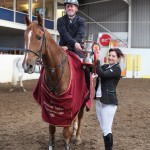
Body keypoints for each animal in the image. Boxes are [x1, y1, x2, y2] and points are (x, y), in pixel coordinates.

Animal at [21, 14, 91, 150]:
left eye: (39, 37)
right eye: (25, 37)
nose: (27, 66)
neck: (56, 71)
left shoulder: (67, 104)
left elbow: (66, 131)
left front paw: (67, 143)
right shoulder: (50, 104)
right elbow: (51, 128)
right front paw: (51, 145)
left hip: (83, 99)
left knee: (79, 117)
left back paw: (77, 137)